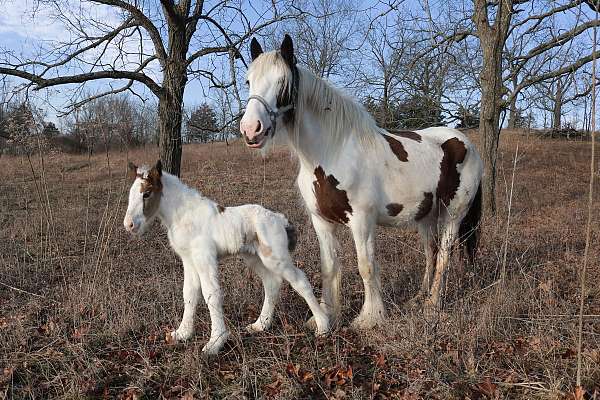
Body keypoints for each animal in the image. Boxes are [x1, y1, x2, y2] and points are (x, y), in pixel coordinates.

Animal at [122, 159, 328, 354]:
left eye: (147, 193)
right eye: (131, 194)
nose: (129, 224)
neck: (183, 215)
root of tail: (279, 219)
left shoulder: (204, 258)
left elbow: (211, 294)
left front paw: (215, 342)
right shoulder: (189, 261)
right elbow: (189, 294)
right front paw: (182, 333)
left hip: (276, 258)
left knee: (300, 281)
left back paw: (323, 326)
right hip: (254, 258)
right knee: (271, 283)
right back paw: (260, 325)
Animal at [239, 34, 482, 328]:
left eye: (283, 82)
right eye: (248, 81)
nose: (251, 130)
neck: (333, 151)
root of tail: (466, 143)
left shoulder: (362, 220)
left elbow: (366, 266)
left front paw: (369, 318)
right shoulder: (321, 221)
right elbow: (329, 267)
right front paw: (326, 316)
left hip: (452, 215)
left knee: (444, 253)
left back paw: (432, 306)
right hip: (426, 216)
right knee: (431, 252)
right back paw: (418, 299)